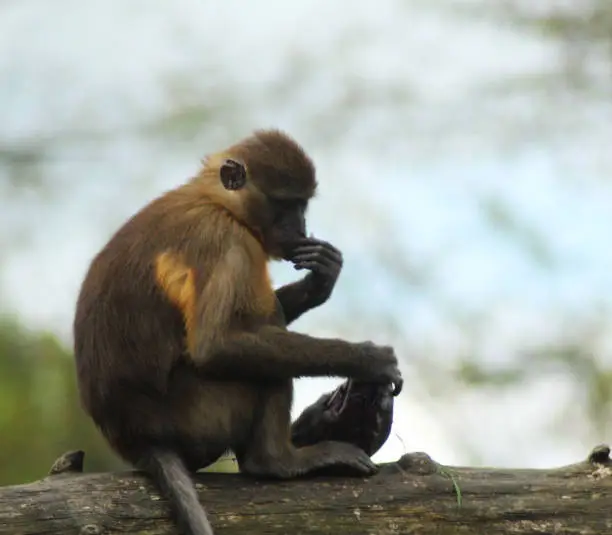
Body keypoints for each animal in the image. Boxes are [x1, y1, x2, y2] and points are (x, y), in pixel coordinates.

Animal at [73, 130, 402, 535]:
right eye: (286, 204)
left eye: (302, 205)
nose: (300, 228)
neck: (217, 201)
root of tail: (137, 440)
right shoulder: (226, 242)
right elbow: (216, 348)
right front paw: (369, 360)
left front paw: (319, 282)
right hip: (203, 417)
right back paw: (276, 460)